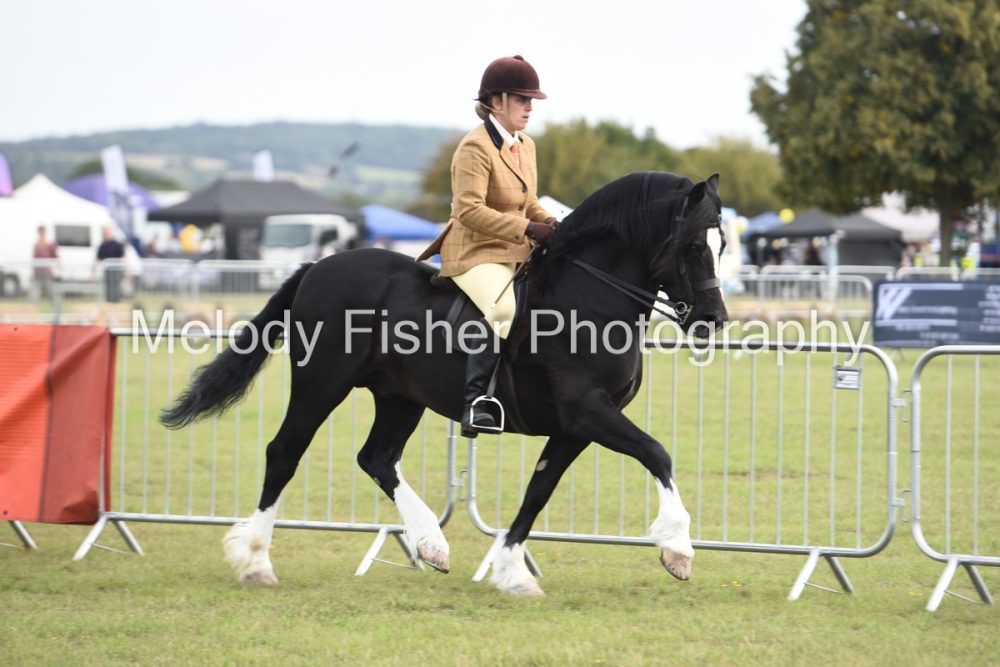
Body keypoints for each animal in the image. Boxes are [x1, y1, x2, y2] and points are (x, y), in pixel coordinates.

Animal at [162, 171, 729, 596]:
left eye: (722, 243)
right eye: (692, 246)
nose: (714, 320)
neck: (588, 295)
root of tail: (319, 266)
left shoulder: (574, 428)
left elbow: (537, 492)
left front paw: (511, 572)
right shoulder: (588, 411)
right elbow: (657, 453)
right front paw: (677, 548)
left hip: (399, 397)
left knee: (377, 458)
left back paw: (431, 543)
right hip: (321, 385)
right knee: (285, 453)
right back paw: (257, 563)